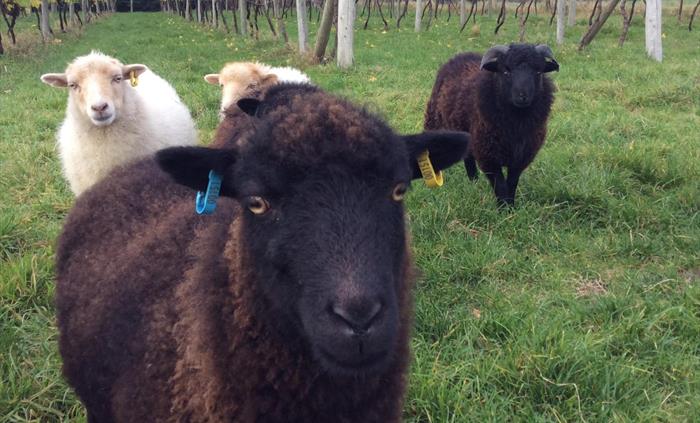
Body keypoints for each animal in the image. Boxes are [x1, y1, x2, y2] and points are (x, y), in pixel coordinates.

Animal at [425, 43, 559, 206]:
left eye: (538, 71)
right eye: (506, 71)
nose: (522, 96)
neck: (517, 122)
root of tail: (461, 55)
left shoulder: (521, 156)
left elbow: (512, 183)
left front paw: (511, 206)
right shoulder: (488, 154)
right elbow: (499, 185)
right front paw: (503, 208)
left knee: (468, 159)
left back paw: (473, 182)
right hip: (435, 120)